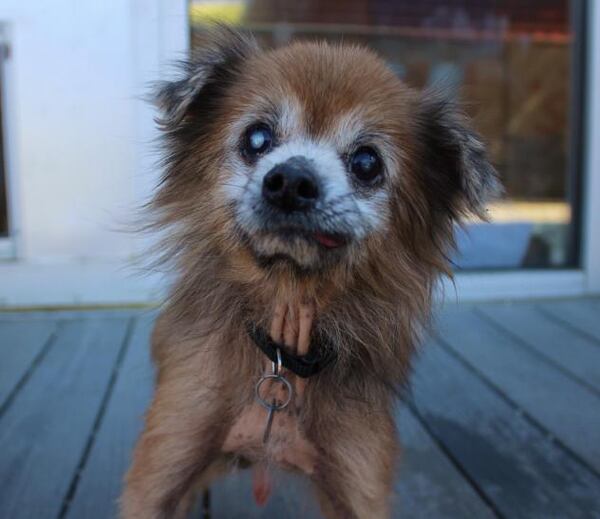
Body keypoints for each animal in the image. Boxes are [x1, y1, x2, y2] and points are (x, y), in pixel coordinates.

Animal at [119, 25, 500, 519]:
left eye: (366, 162)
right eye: (257, 138)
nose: (291, 181)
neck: (285, 341)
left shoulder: (357, 483)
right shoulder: (164, 465)